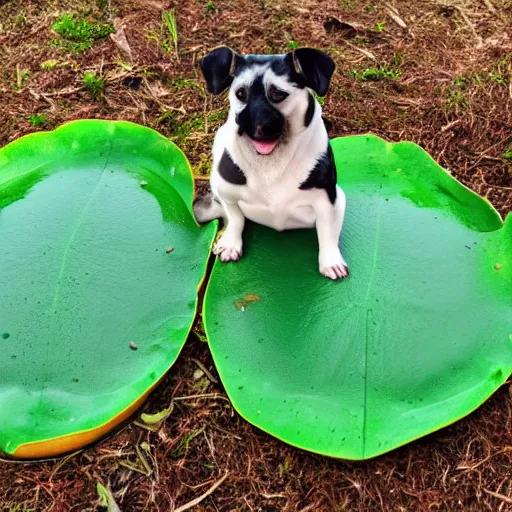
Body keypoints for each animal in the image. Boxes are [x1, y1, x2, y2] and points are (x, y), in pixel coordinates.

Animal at [194, 47, 350, 280]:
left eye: (278, 94)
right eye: (241, 94)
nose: (258, 128)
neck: (270, 162)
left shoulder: (328, 202)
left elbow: (327, 233)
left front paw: (330, 261)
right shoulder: (227, 194)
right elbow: (236, 219)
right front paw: (231, 243)